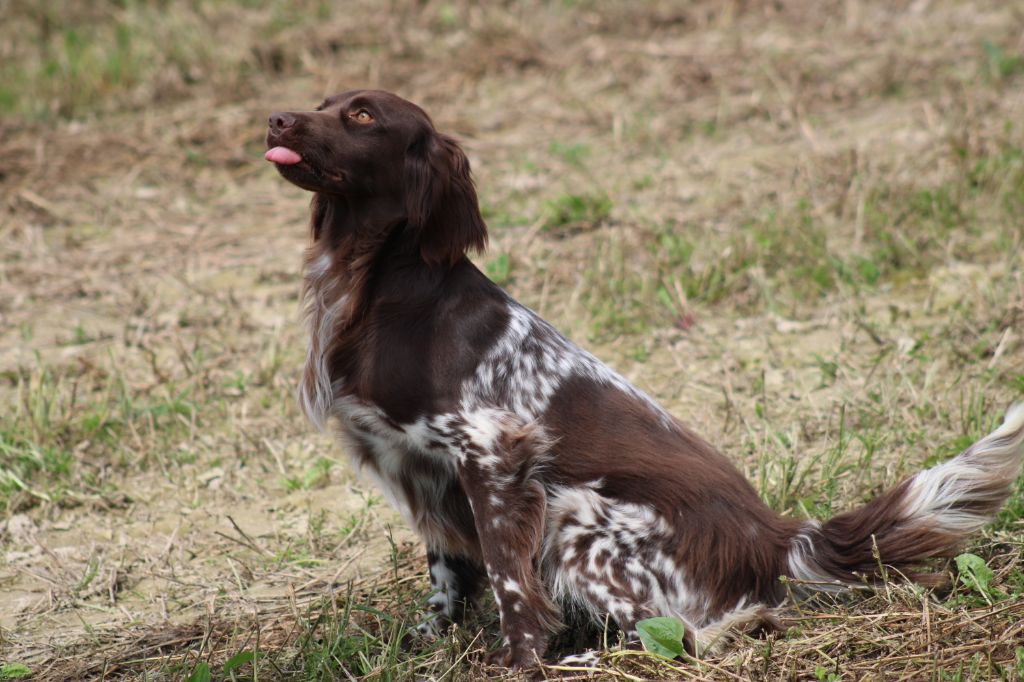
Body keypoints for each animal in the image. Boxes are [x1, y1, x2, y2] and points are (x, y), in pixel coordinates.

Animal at [266, 87, 1024, 667]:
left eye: (362, 114)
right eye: (325, 102)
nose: (275, 119)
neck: (377, 284)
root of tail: (777, 538)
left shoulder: (490, 450)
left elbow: (511, 583)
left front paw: (518, 661)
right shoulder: (421, 464)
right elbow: (446, 574)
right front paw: (430, 638)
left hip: (577, 517)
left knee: (684, 635)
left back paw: (585, 658)